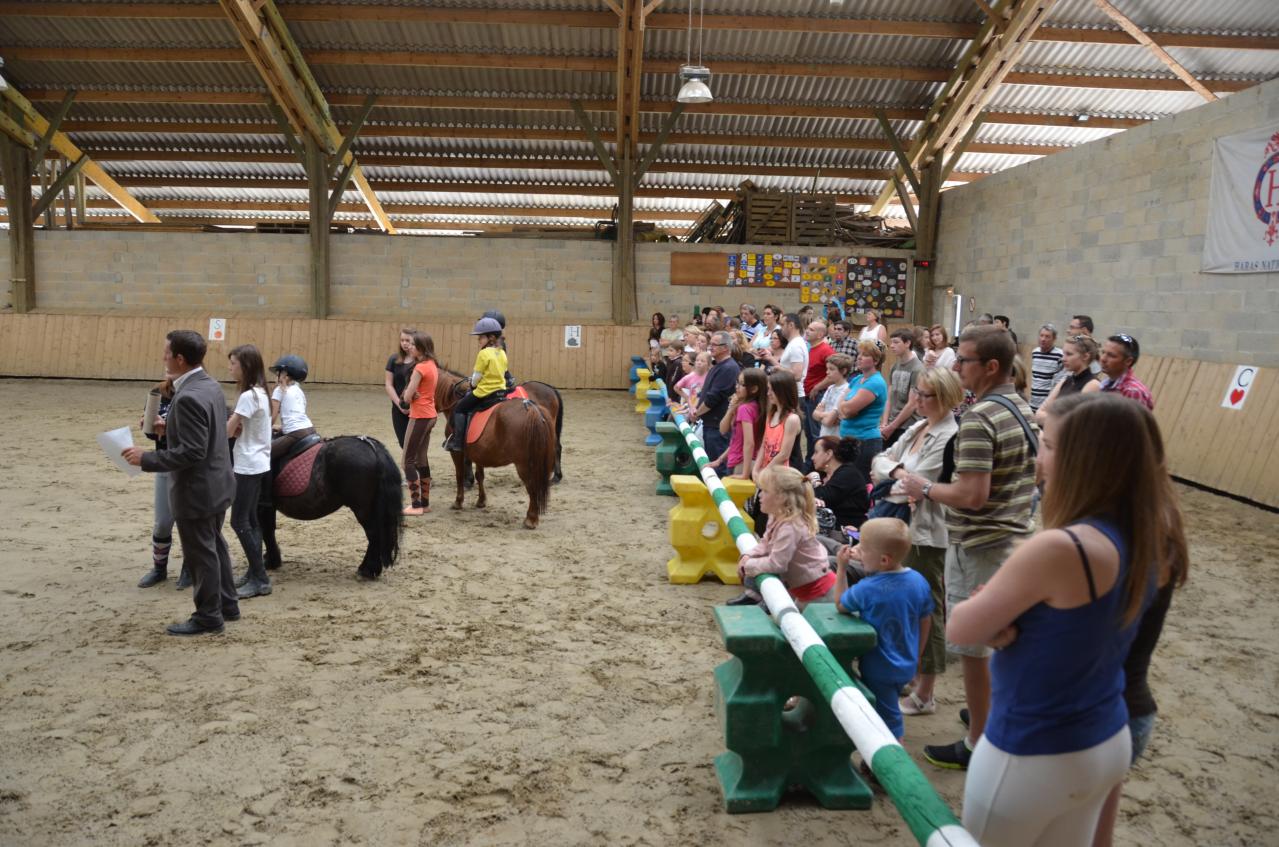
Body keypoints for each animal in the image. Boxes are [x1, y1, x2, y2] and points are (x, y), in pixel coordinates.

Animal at [258, 437, 399, 583]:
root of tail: (370, 446)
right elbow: (268, 530)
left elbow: (266, 531)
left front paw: (271, 561)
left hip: (362, 509)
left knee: (374, 534)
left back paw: (367, 570)